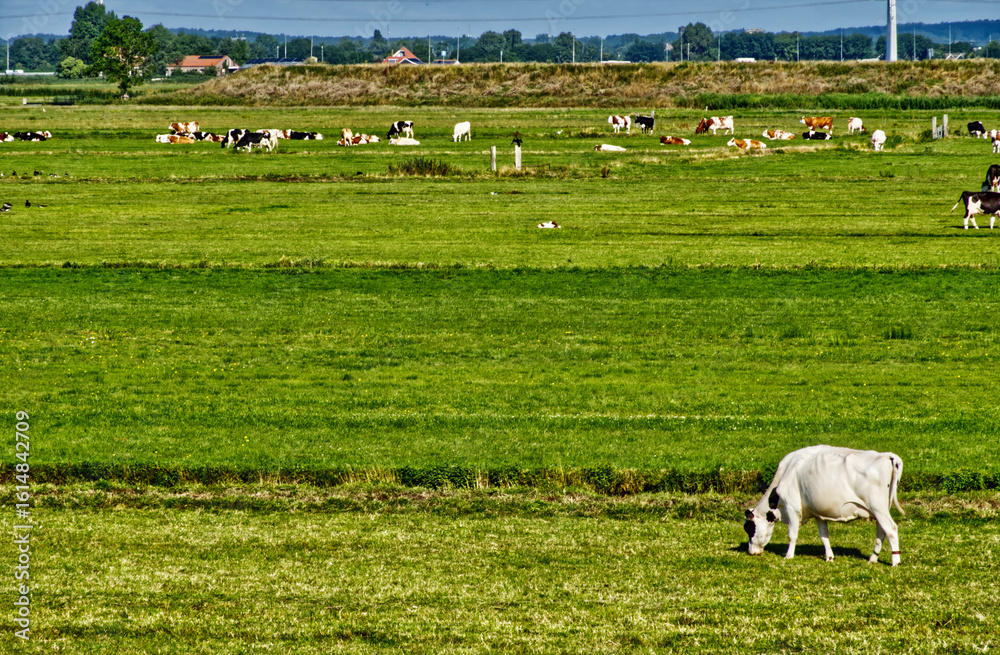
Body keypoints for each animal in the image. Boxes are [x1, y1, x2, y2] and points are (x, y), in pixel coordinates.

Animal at [744, 445, 904, 566]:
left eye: (749, 528)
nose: (750, 551)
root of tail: (887, 455)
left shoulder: (792, 508)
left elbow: (792, 535)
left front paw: (788, 556)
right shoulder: (818, 513)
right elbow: (824, 536)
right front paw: (829, 557)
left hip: (878, 507)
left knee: (891, 529)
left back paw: (895, 561)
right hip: (880, 510)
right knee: (881, 531)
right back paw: (873, 558)